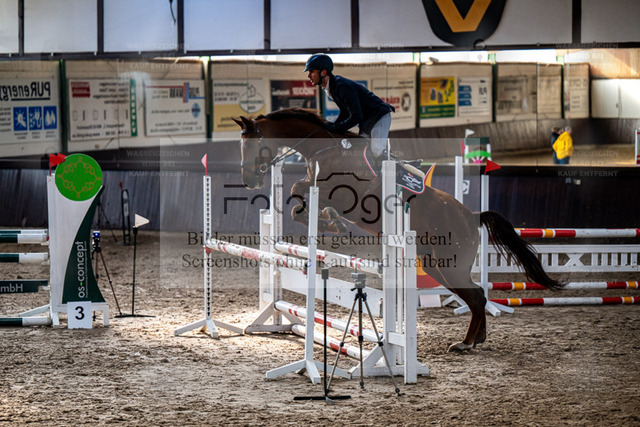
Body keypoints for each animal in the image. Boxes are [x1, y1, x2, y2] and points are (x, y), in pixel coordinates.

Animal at [232, 108, 563, 352]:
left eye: (251, 144)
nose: (248, 180)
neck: (324, 149)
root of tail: (471, 215)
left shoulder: (336, 192)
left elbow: (301, 192)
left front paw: (331, 221)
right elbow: (297, 200)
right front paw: (329, 221)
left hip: (448, 265)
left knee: (477, 296)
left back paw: (466, 343)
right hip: (436, 264)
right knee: (477, 296)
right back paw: (476, 340)